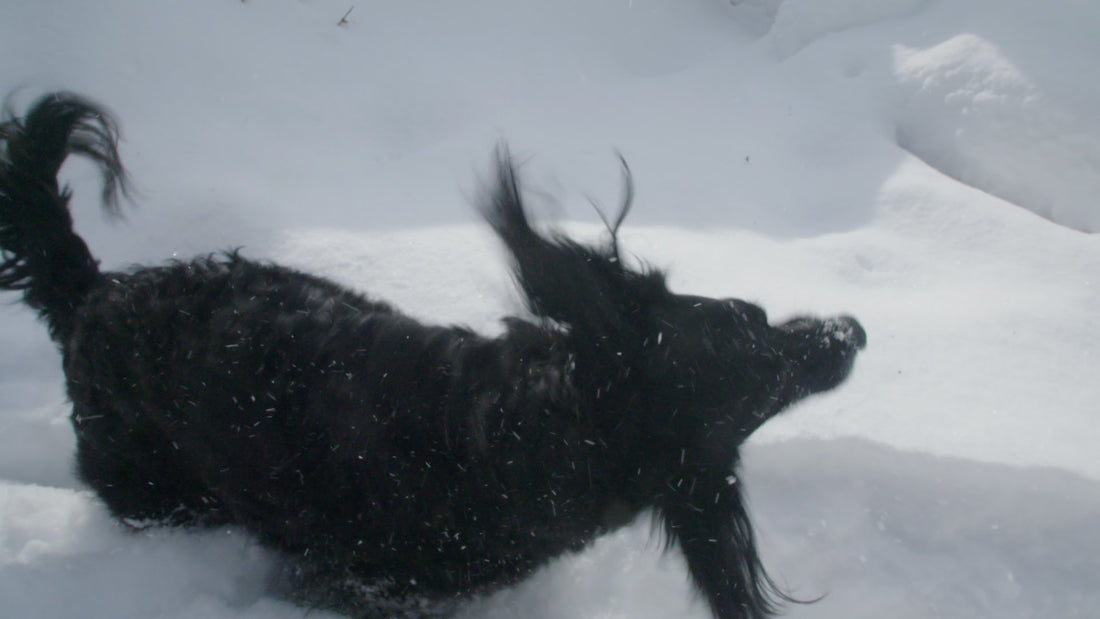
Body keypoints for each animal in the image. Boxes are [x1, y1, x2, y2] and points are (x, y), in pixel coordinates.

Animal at [2, 93, 866, 619]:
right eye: (758, 350)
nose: (853, 332)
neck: (520, 429)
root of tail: (93, 295)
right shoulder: (355, 584)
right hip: (156, 491)